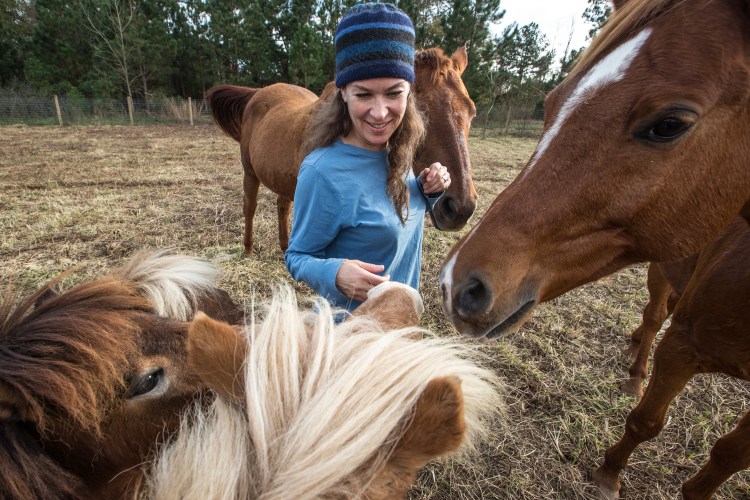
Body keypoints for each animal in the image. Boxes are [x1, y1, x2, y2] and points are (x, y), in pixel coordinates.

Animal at [207, 47, 478, 256]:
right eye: (420, 111)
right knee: (250, 207)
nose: (460, 208)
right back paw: (248, 249)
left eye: (472, 111)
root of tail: (259, 93)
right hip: (250, 172)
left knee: (282, 205)